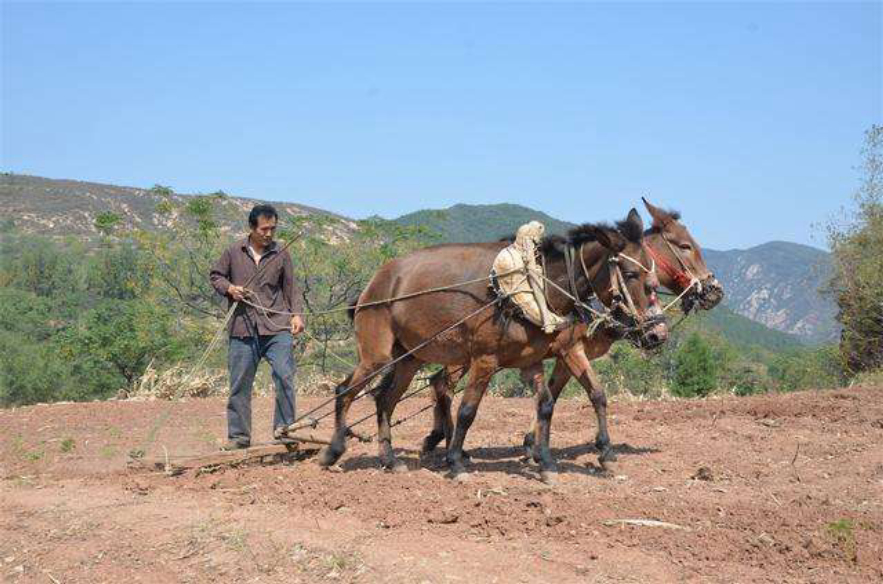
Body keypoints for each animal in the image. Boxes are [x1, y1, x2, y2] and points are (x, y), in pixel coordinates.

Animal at [318, 208, 667, 481]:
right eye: (631, 273)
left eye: (654, 275)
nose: (656, 332)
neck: (532, 286)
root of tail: (376, 283)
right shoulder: (487, 359)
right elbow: (468, 411)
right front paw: (456, 463)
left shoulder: (533, 361)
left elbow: (549, 404)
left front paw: (547, 462)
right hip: (376, 355)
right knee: (346, 391)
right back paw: (333, 452)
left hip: (408, 359)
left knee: (385, 400)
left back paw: (390, 460)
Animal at [420, 198, 724, 469]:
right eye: (685, 246)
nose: (715, 291)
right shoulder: (571, 350)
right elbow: (576, 394)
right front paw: (542, 447)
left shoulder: (562, 355)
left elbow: (564, 395)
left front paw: (535, 446)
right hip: (464, 354)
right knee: (443, 386)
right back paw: (448, 447)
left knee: (438, 384)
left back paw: (441, 442)